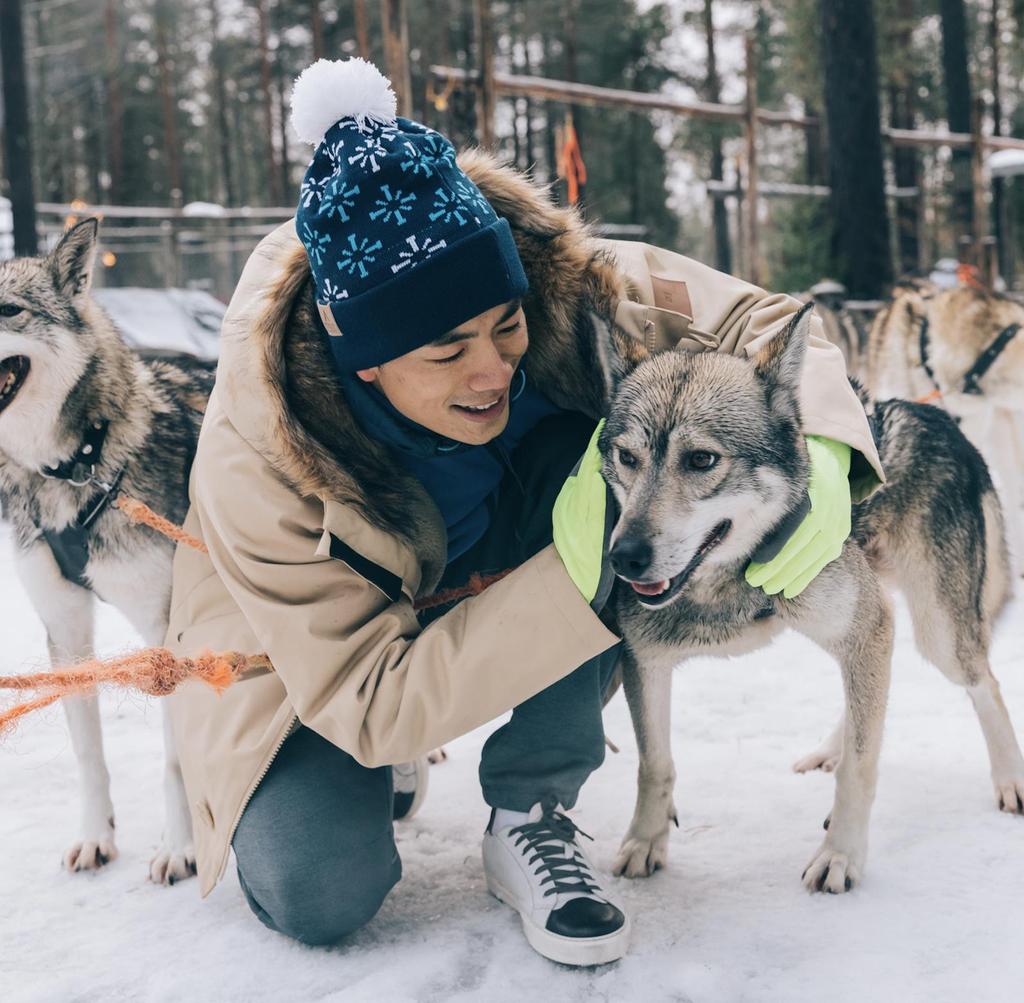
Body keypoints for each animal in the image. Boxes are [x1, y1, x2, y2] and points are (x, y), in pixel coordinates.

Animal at [0, 221, 212, 885]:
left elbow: (176, 758)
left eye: (8, 310)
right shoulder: (65, 631)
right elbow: (87, 752)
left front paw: (181, 847)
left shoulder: (168, 632)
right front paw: (96, 837)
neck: (76, 467)